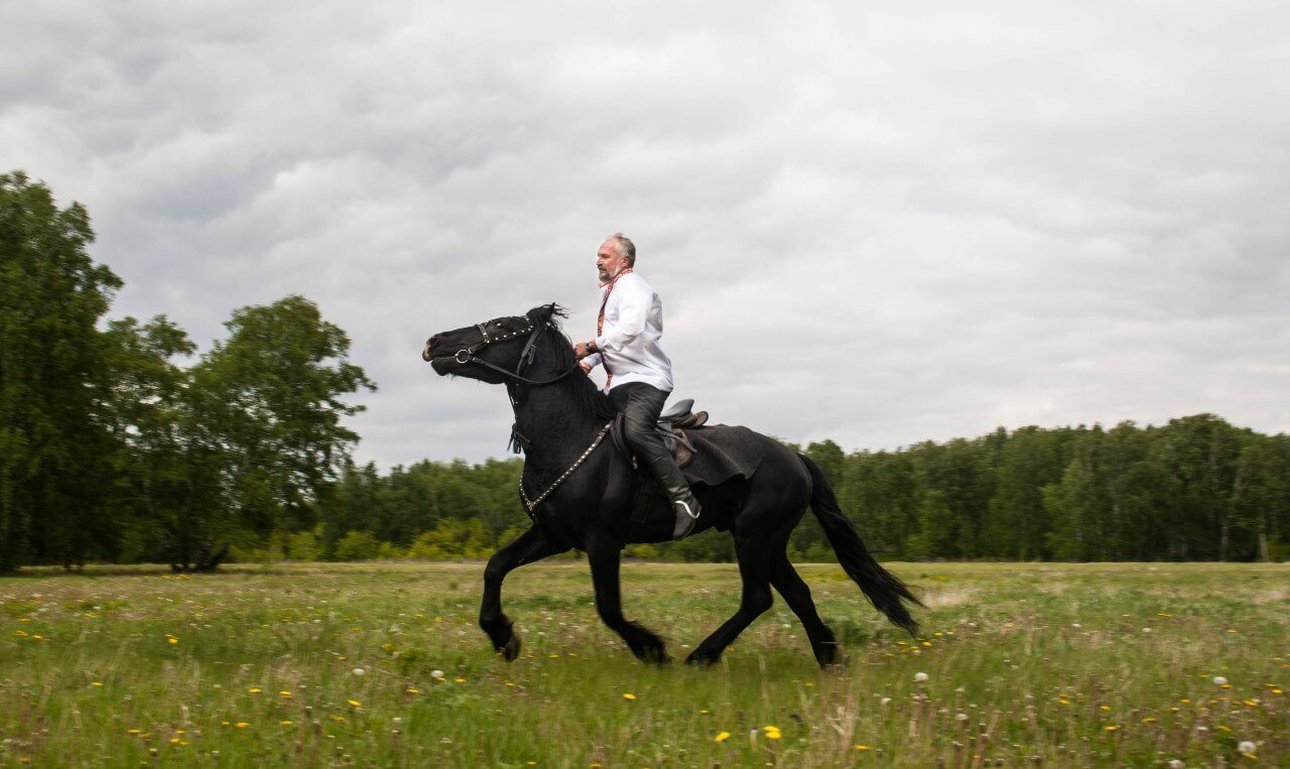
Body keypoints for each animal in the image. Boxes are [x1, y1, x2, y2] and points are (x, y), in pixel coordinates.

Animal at [423, 301, 918, 665]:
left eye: (501, 326)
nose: (433, 342)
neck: (569, 438)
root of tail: (793, 457)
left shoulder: (602, 541)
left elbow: (608, 607)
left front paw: (652, 649)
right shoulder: (552, 535)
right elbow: (495, 567)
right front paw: (503, 637)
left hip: (755, 536)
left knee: (758, 598)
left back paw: (702, 655)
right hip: (768, 541)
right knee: (795, 594)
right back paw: (828, 658)